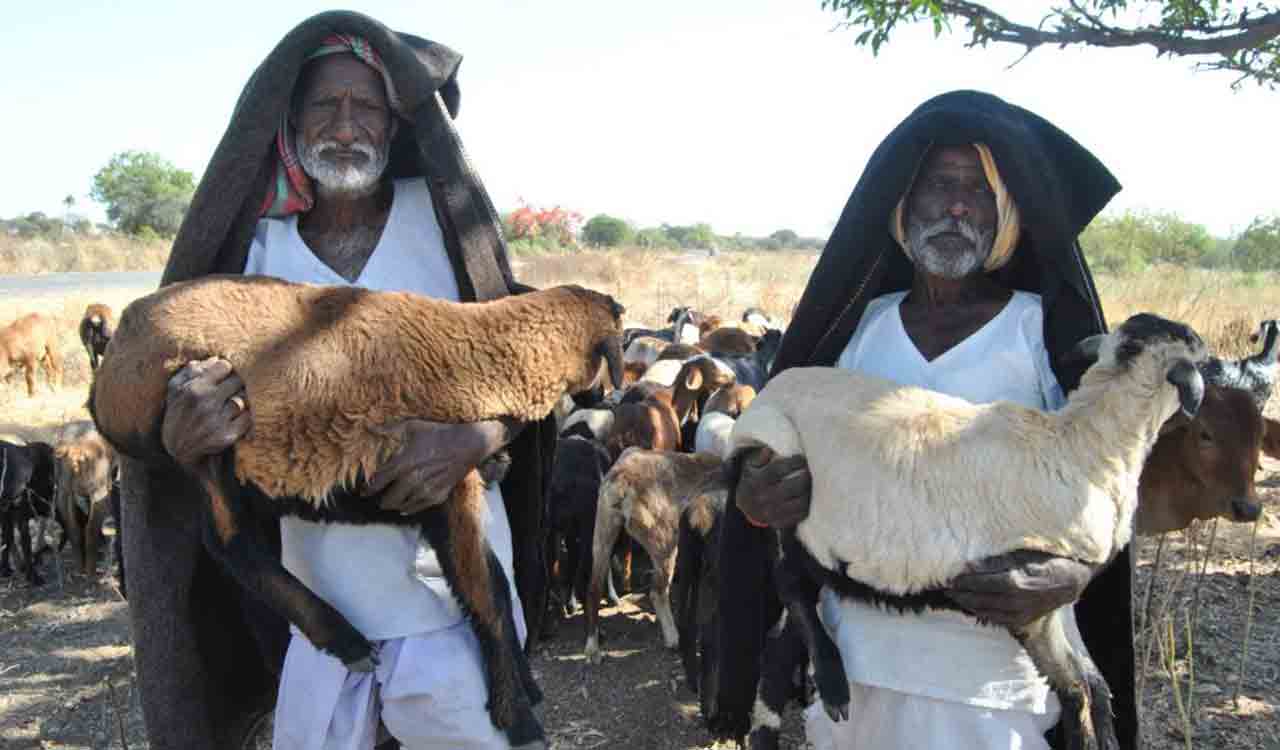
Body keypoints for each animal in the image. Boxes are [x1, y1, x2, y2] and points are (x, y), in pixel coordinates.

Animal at [583, 447, 727, 664]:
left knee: (593, 588)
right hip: (665, 543)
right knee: (657, 592)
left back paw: (592, 650)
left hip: (603, 531)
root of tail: (622, 479)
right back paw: (673, 639)